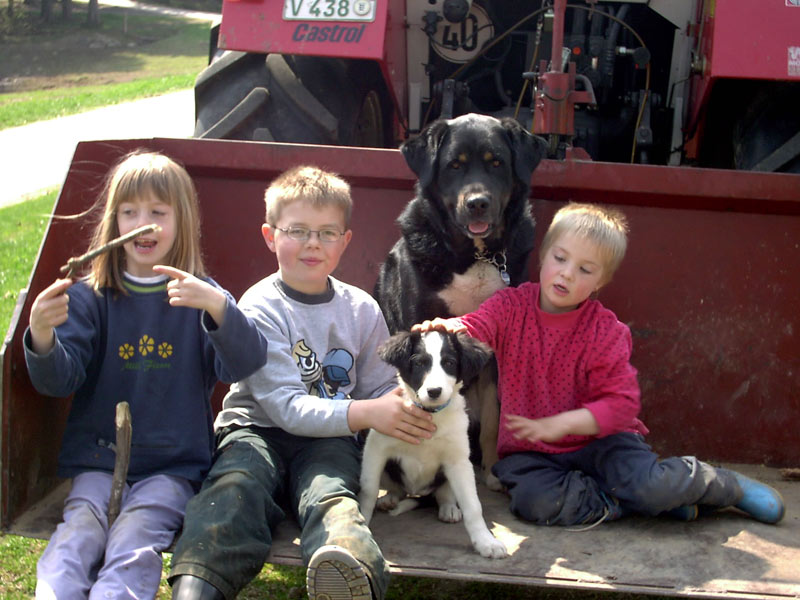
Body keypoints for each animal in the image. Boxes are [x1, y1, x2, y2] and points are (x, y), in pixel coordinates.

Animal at [360, 328, 510, 556]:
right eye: (419, 363)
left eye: (449, 363)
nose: (434, 391)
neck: (429, 415)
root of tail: (418, 491)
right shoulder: (375, 449)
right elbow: (368, 490)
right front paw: (363, 522)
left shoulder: (458, 461)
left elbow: (473, 506)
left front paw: (486, 542)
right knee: (397, 488)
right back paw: (389, 499)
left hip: (448, 474)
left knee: (443, 494)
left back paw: (449, 509)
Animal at [374, 112, 548, 488]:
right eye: (454, 165)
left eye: (497, 163)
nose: (477, 203)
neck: (475, 256)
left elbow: (494, 416)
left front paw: (493, 469)